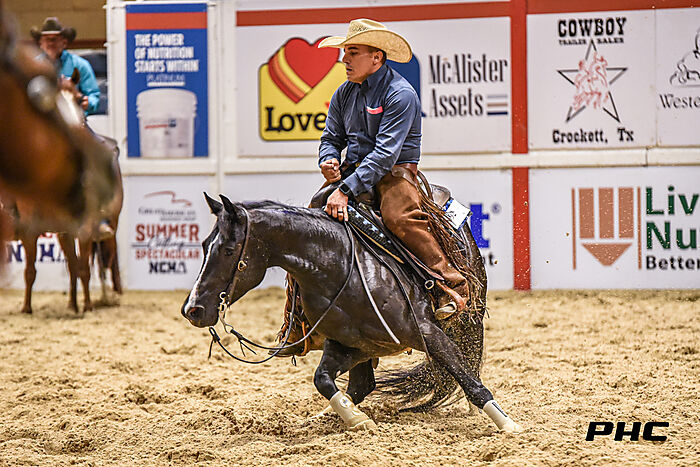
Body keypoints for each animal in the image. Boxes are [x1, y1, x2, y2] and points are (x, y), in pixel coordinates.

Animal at [182, 194, 522, 433]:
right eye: (204, 244)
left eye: (228, 250)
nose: (192, 309)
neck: (340, 266)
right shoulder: (350, 345)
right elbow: (323, 380)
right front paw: (356, 420)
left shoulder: (428, 331)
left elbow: (469, 380)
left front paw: (509, 425)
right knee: (361, 386)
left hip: (467, 317)